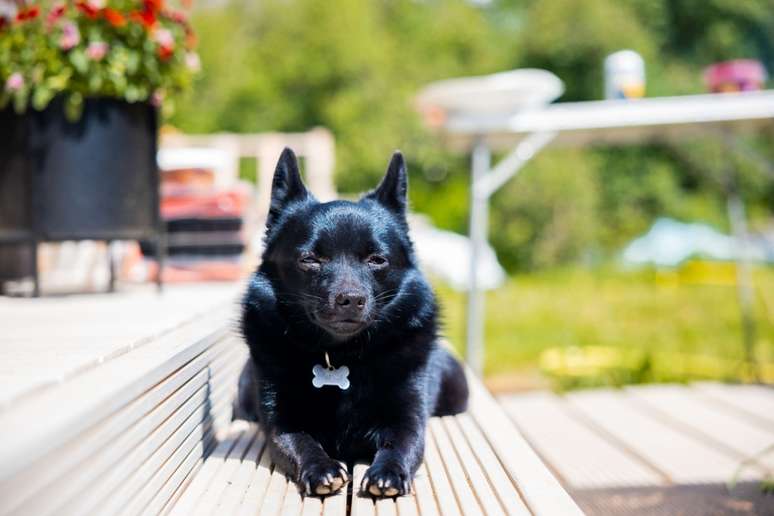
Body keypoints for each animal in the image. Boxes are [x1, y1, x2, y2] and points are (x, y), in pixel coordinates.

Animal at [235, 147, 466, 498]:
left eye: (377, 259)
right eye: (310, 259)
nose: (351, 299)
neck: (341, 354)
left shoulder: (407, 419)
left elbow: (403, 444)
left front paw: (388, 472)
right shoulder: (280, 421)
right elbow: (299, 442)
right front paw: (321, 468)